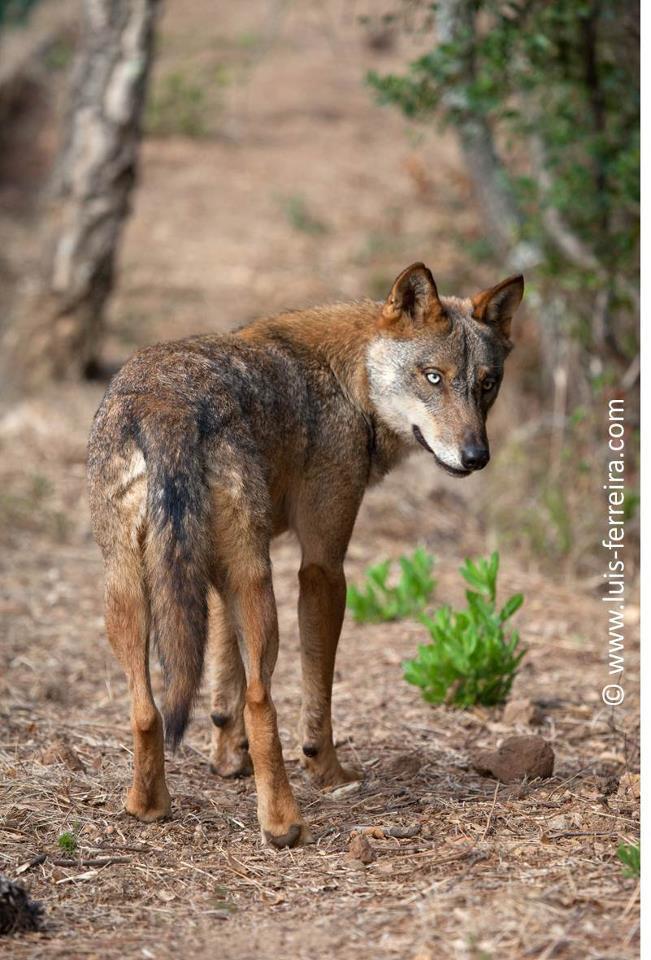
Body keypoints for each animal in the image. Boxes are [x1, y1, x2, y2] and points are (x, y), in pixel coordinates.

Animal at [86, 262, 524, 848]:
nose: (476, 456)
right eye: (433, 377)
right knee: (261, 700)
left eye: (487, 384)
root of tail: (164, 403)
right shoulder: (322, 567)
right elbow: (316, 693)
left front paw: (226, 761)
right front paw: (329, 772)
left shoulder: (220, 573)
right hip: (259, 587)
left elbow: (221, 682)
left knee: (146, 708)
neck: (348, 382)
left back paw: (147, 805)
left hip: (133, 589)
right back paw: (282, 823)